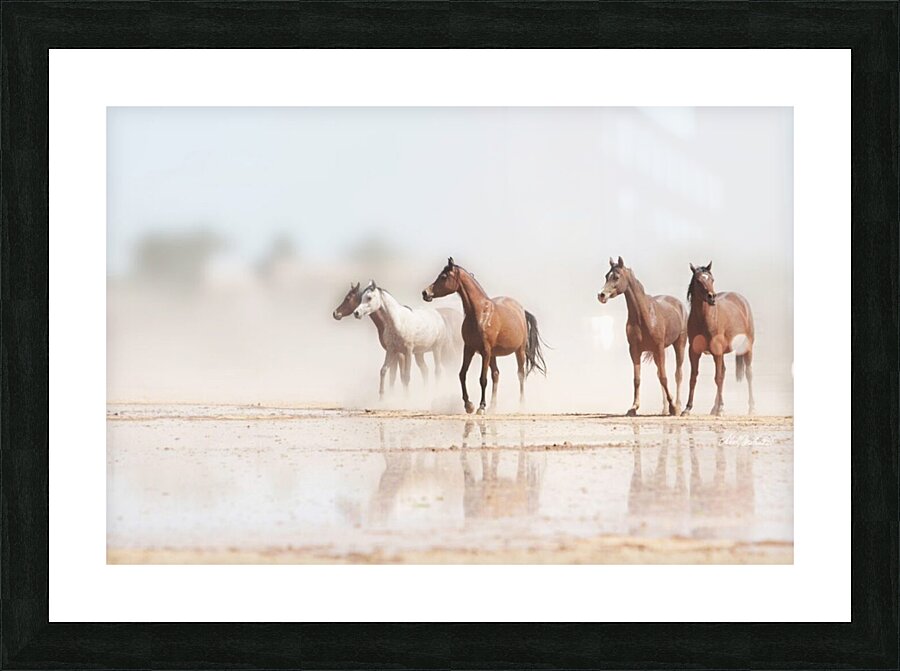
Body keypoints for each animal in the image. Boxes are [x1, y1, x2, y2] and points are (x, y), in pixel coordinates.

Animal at [422, 257, 547, 414]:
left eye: (443, 276)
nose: (425, 293)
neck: (480, 314)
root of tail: (521, 310)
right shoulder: (469, 349)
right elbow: (462, 374)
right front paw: (468, 405)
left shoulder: (485, 351)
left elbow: (483, 379)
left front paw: (481, 407)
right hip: (494, 354)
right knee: (496, 374)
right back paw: (493, 406)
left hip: (519, 351)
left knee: (520, 374)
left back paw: (521, 405)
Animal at [598, 257, 687, 416]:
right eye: (606, 276)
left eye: (616, 277)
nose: (601, 295)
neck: (643, 316)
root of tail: (679, 304)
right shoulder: (634, 350)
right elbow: (637, 379)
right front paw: (633, 407)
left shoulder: (659, 348)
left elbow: (664, 378)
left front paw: (673, 407)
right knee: (660, 374)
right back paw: (664, 409)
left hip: (679, 345)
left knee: (678, 375)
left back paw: (677, 406)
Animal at [682, 262, 755, 416]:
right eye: (698, 281)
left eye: (712, 279)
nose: (712, 297)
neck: (704, 319)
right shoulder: (694, 352)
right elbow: (693, 377)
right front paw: (687, 408)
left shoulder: (716, 350)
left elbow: (718, 378)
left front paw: (721, 408)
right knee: (724, 372)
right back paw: (714, 408)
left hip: (747, 348)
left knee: (748, 374)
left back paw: (751, 408)